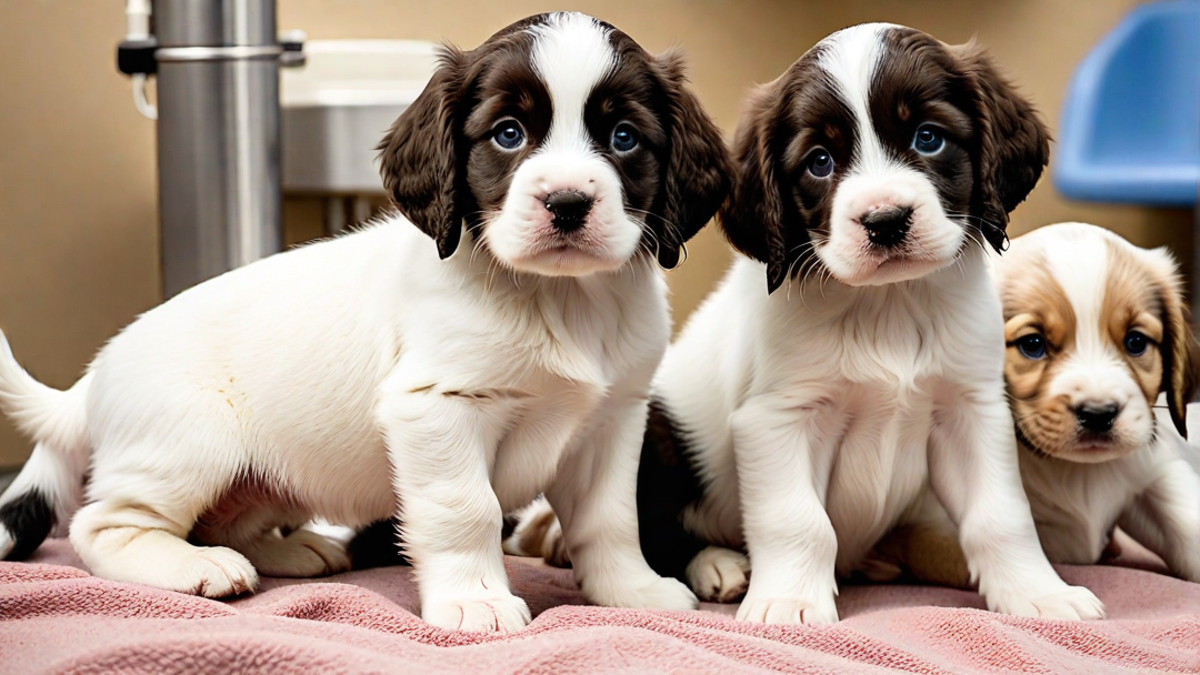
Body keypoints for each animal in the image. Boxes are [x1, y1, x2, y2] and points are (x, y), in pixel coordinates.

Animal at [0, 10, 729, 629]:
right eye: (509, 134)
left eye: (624, 138)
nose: (569, 203)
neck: (560, 299)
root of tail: (92, 376)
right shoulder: (435, 406)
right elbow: (467, 509)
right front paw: (477, 601)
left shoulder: (612, 420)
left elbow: (611, 519)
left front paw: (629, 591)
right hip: (191, 442)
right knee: (103, 524)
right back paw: (195, 567)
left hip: (270, 475)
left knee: (227, 519)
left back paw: (291, 551)